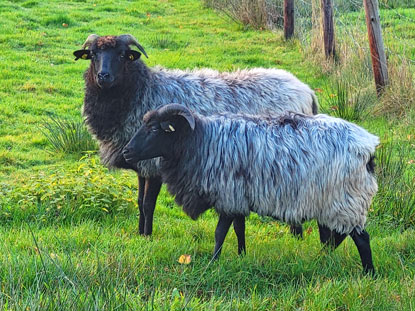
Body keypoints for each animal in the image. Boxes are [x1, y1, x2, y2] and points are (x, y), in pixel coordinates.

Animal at [74, 33, 318, 239]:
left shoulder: (154, 163)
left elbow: (147, 204)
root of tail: (306, 90)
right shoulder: (139, 160)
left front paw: (147, 237)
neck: (142, 90)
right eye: (93, 55)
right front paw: (139, 233)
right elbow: (139, 201)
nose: (103, 76)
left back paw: (297, 237)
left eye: (122, 54)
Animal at [122, 105, 380, 276]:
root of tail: (368, 147)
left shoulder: (227, 196)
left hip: (346, 199)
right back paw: (321, 259)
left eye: (155, 129)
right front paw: (241, 255)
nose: (126, 152)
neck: (200, 142)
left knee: (361, 238)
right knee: (334, 237)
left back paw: (368, 273)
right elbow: (239, 229)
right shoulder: (238, 198)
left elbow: (219, 233)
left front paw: (213, 263)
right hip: (332, 202)